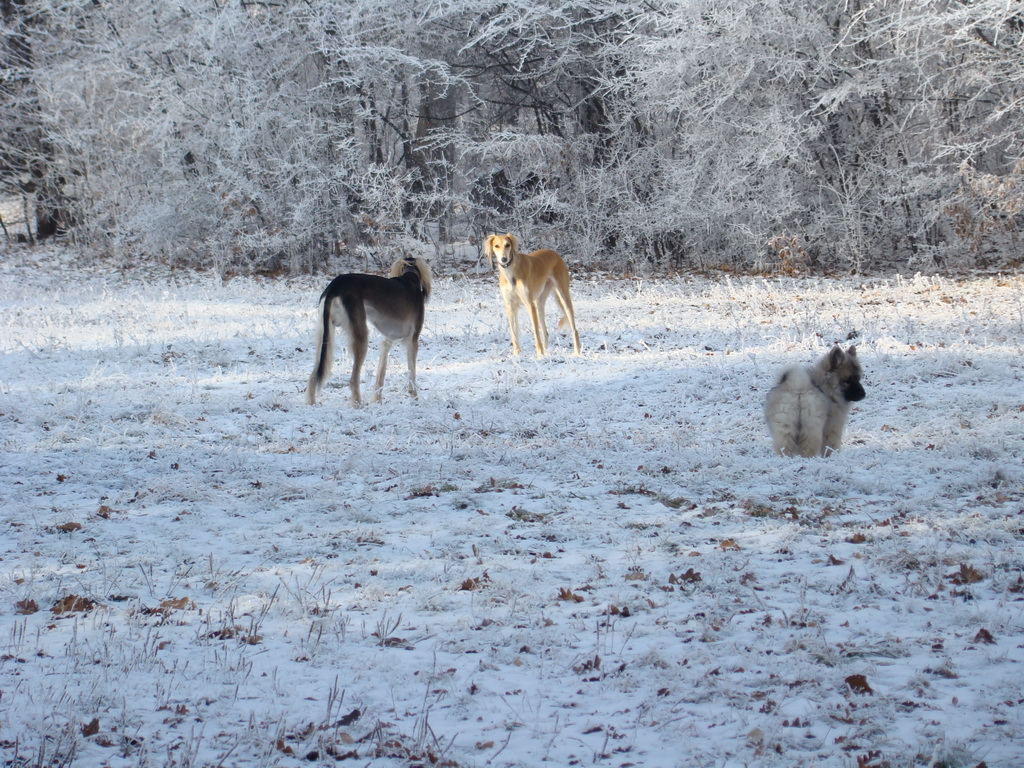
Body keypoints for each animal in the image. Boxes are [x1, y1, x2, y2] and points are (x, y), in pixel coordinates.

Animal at [303, 256, 432, 405]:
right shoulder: (413, 340)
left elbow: (381, 373)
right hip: (360, 335)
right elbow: (412, 372)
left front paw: (377, 399)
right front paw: (415, 397)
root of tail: (334, 286)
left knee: (313, 375)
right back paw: (357, 405)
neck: (410, 277)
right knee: (353, 379)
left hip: (324, 334)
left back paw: (311, 403)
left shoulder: (387, 341)